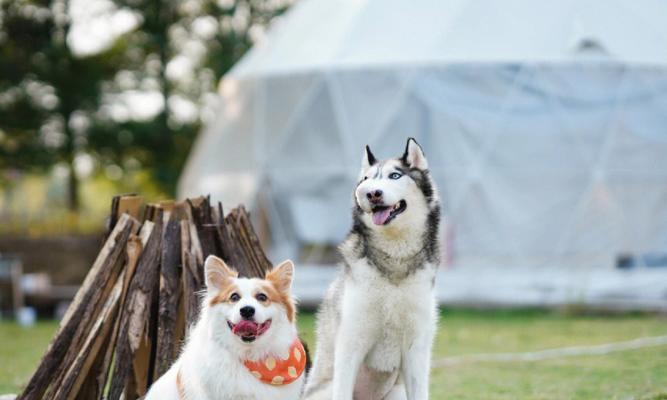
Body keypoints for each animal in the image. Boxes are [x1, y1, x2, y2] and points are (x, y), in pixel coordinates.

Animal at [302, 138, 438, 400]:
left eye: (395, 175)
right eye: (366, 179)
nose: (371, 193)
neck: (395, 260)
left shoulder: (417, 347)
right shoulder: (350, 341)